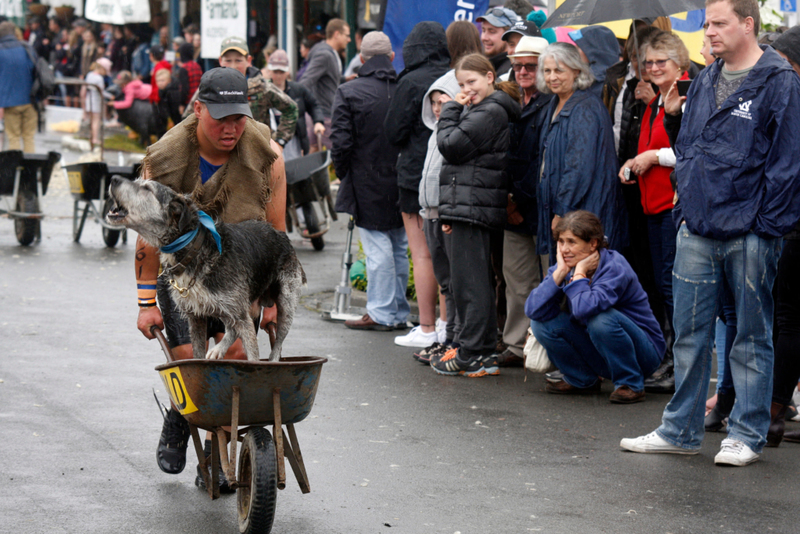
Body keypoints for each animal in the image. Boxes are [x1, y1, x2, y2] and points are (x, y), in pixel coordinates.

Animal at [104, 178, 304, 362]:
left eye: (147, 188)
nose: (114, 179)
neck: (193, 249)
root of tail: (281, 235)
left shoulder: (240, 316)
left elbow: (254, 359)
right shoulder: (195, 317)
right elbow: (198, 354)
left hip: (285, 304)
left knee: (278, 341)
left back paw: (273, 360)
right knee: (231, 328)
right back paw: (219, 349)